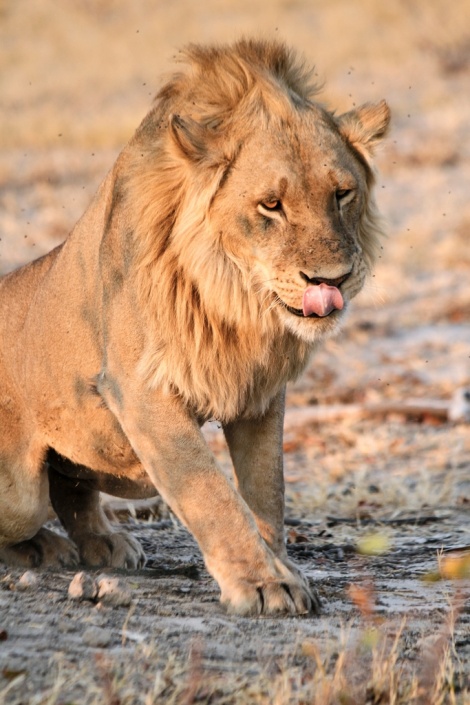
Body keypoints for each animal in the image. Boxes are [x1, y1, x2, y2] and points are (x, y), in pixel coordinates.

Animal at [0, 39, 390, 616]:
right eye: (271, 205)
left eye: (342, 194)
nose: (332, 279)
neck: (240, 303)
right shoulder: (140, 390)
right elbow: (210, 492)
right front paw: (262, 583)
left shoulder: (260, 395)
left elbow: (266, 492)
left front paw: (282, 566)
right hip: (20, 495)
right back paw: (42, 548)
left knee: (73, 487)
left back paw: (103, 542)